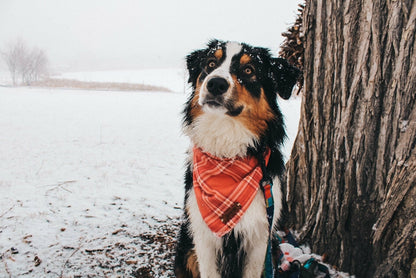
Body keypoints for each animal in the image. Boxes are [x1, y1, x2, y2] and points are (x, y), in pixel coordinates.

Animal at [175, 39, 300, 278]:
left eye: (249, 70)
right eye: (210, 63)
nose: (215, 84)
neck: (227, 155)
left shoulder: (260, 238)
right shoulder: (203, 238)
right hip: (185, 250)